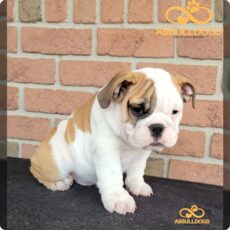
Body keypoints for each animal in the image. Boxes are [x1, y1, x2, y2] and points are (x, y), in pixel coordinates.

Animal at [30, 67, 196, 215]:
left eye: (175, 112)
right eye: (137, 109)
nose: (157, 127)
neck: (128, 142)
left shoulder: (141, 153)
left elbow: (137, 170)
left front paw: (137, 185)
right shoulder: (107, 151)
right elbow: (113, 175)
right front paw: (119, 198)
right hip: (56, 163)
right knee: (36, 170)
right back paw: (59, 182)